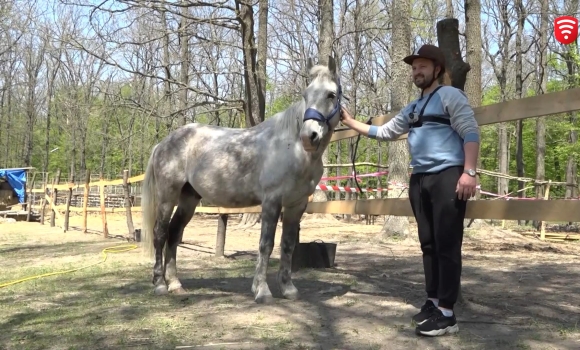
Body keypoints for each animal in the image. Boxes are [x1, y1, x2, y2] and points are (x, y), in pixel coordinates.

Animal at [140, 55, 342, 304]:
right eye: (306, 95)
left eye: (331, 94)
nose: (308, 136)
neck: (292, 149)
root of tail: (163, 143)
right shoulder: (271, 202)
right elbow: (266, 244)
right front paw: (262, 291)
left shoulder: (296, 205)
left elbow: (287, 245)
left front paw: (288, 289)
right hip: (167, 196)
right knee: (160, 234)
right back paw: (160, 284)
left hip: (189, 198)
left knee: (174, 233)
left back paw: (176, 284)